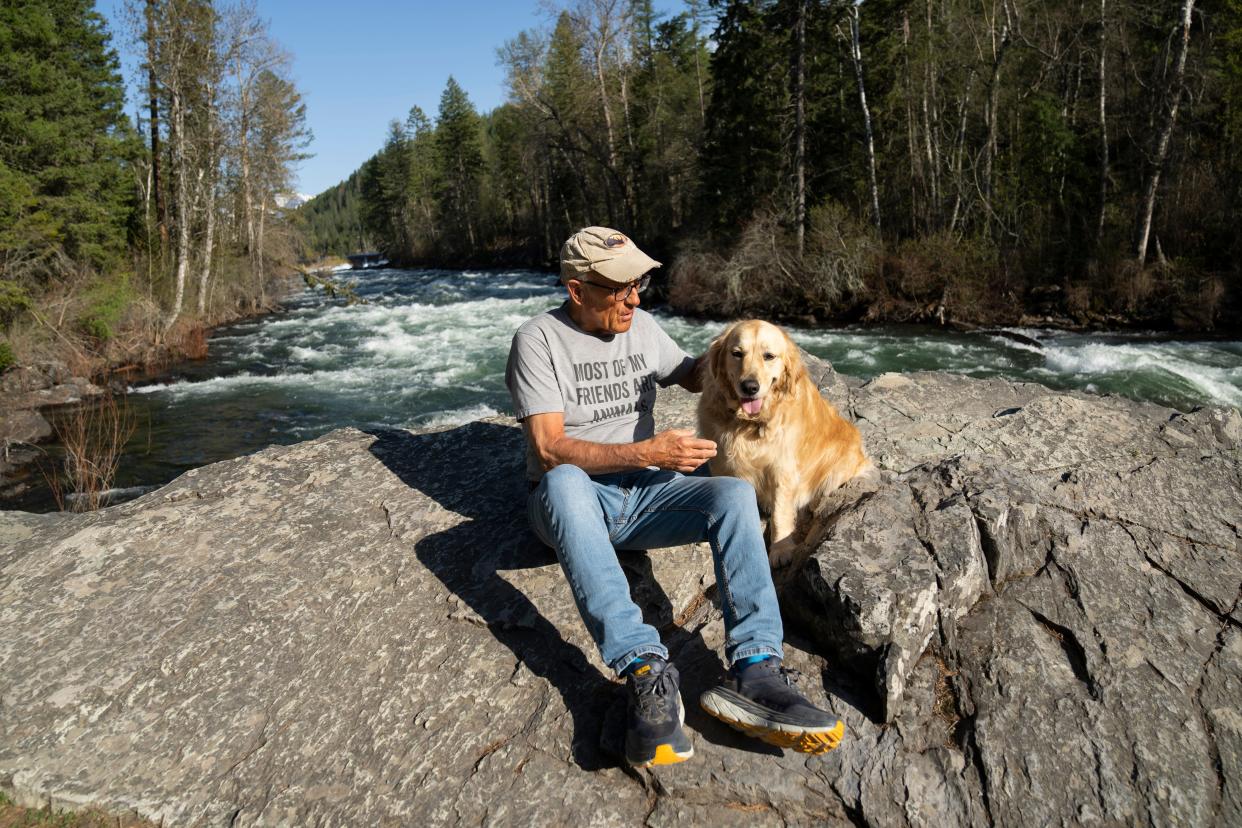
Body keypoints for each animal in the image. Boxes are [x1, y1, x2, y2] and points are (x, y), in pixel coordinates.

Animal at [700, 320, 874, 566]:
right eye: (737, 353)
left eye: (769, 356)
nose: (750, 386)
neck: (750, 423)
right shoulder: (722, 464)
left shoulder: (782, 468)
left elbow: (781, 513)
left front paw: (781, 550)